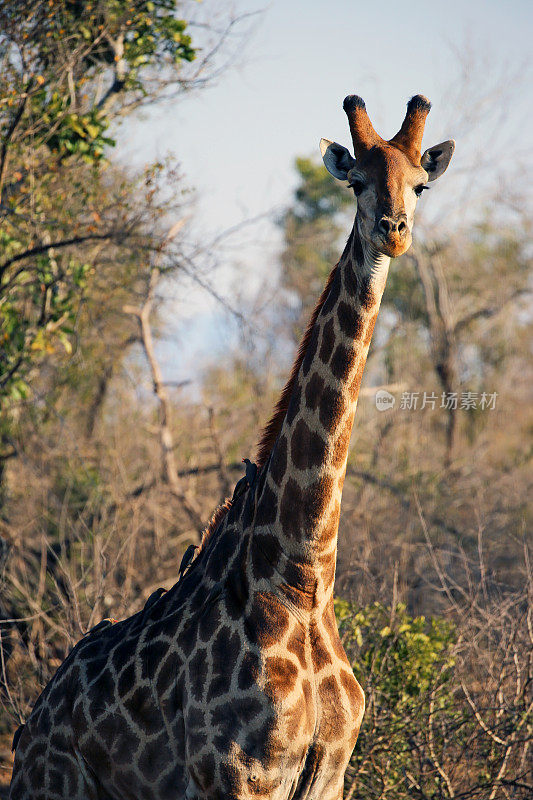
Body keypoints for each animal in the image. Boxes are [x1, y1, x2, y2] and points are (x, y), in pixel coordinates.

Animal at [9, 95, 454, 800]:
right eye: (356, 182)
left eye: (421, 185)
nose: (395, 230)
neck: (301, 580)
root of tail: (30, 727)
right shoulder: (239, 774)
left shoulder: (329, 771)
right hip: (55, 787)